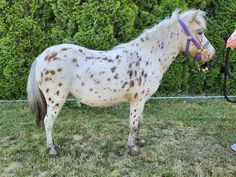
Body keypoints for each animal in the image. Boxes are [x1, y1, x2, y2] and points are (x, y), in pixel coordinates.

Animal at [27, 9, 216, 156]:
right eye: (200, 31)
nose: (211, 53)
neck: (150, 54)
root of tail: (42, 56)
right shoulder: (137, 100)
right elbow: (132, 124)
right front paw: (132, 149)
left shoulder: (143, 100)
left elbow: (139, 122)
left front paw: (140, 142)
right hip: (56, 99)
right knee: (48, 122)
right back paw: (52, 150)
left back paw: (55, 145)